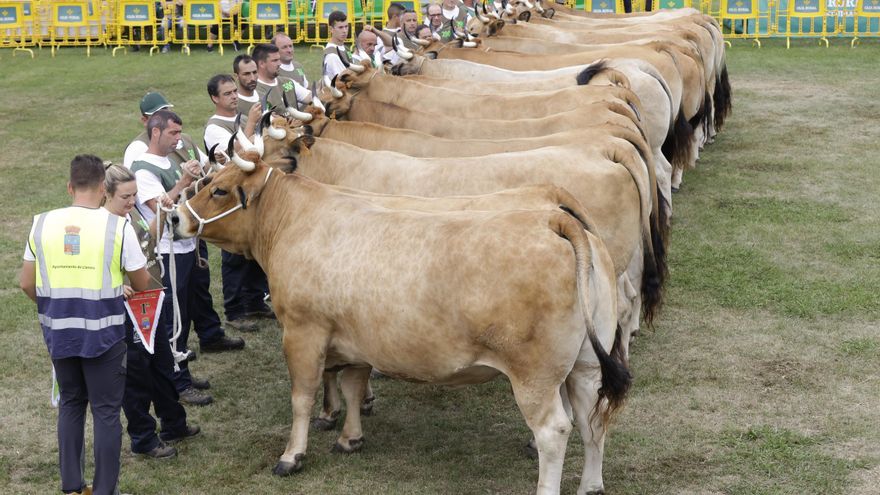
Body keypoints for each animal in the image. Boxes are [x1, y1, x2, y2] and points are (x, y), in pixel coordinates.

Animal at [175, 141, 632, 494]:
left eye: (218, 189)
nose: (177, 216)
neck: (295, 220)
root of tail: (552, 218)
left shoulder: (303, 331)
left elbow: (302, 396)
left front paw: (292, 455)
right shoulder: (355, 337)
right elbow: (353, 385)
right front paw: (350, 438)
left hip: (534, 375)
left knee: (554, 431)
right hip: (586, 364)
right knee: (593, 419)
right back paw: (591, 485)